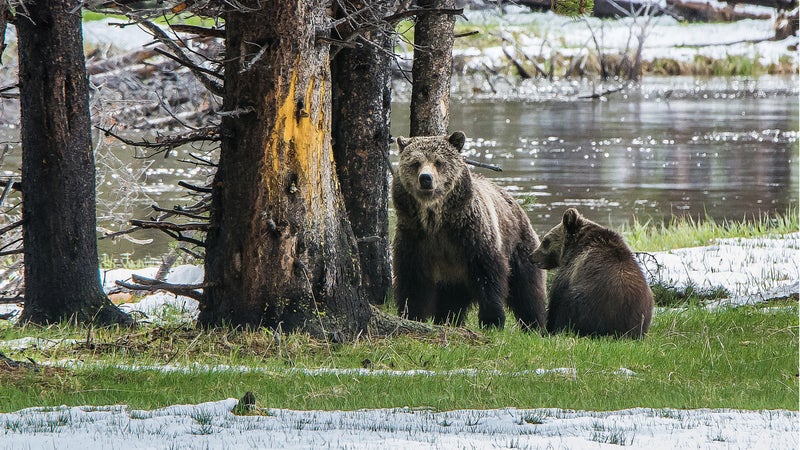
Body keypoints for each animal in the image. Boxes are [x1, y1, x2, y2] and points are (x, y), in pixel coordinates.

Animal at [390, 130, 548, 330]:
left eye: (439, 162)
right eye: (415, 163)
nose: (426, 178)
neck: (437, 221)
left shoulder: (472, 235)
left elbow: (489, 275)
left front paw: (492, 320)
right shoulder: (414, 237)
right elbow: (412, 280)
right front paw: (411, 314)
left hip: (519, 244)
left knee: (527, 289)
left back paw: (534, 324)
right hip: (452, 275)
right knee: (451, 300)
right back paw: (448, 320)